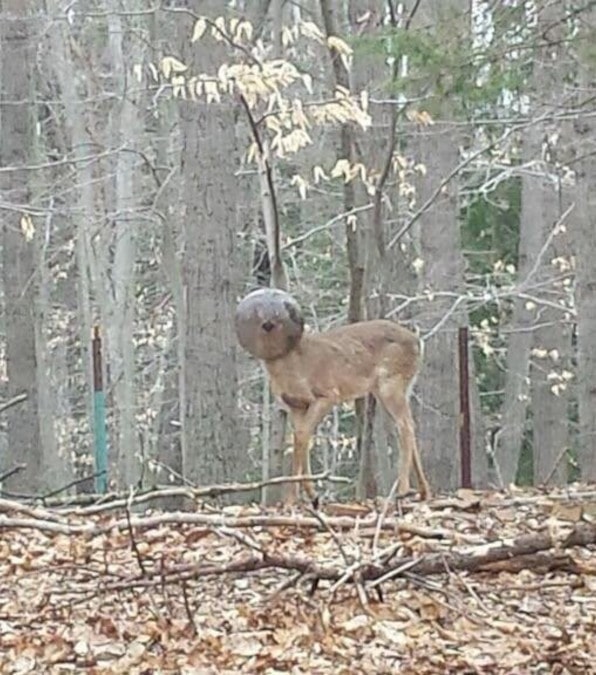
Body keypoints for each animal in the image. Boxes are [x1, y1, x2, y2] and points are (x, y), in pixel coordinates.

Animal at [235, 288, 430, 504]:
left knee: (406, 426)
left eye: (281, 313)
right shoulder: (296, 405)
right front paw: (308, 496)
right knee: (407, 425)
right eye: (260, 314)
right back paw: (424, 492)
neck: (292, 366)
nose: (269, 323)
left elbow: (302, 436)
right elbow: (301, 437)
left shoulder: (327, 394)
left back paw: (402, 490)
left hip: (390, 383)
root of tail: (418, 342)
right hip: (397, 387)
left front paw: (294, 499)